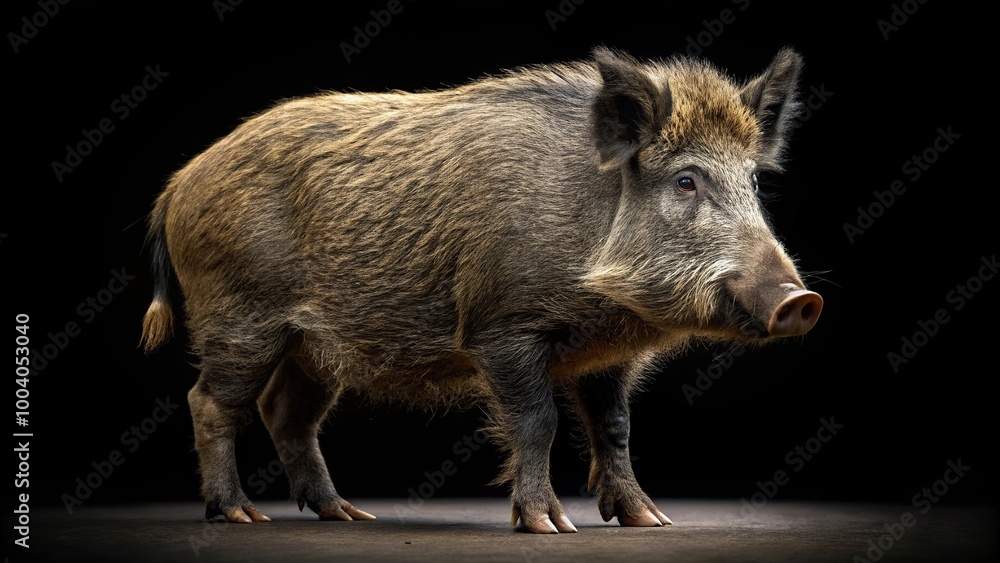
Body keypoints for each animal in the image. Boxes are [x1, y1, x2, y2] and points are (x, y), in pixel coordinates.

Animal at [140, 46, 822, 533]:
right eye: (685, 181)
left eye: (753, 183)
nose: (801, 301)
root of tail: (177, 185)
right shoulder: (502, 328)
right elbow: (538, 420)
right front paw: (550, 527)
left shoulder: (609, 356)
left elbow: (616, 428)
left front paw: (651, 522)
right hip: (240, 318)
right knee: (210, 402)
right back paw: (238, 514)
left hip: (314, 347)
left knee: (285, 412)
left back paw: (347, 514)